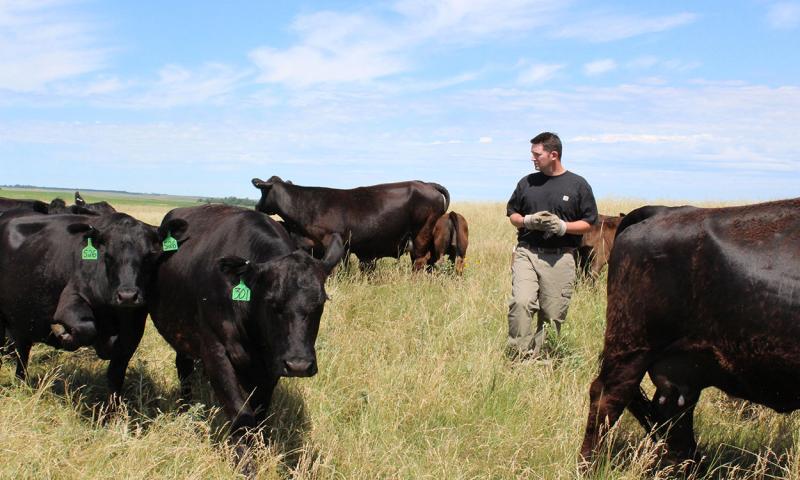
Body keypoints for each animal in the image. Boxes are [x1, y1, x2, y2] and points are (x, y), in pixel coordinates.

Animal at [0, 210, 186, 399]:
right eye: (108, 256)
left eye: (148, 256)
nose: (127, 296)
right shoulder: (70, 301)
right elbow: (86, 328)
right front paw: (64, 334)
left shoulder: (133, 328)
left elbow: (116, 374)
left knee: (22, 352)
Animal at [147, 204, 344, 471]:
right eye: (271, 302)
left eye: (320, 302)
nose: (298, 365)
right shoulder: (215, 351)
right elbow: (240, 413)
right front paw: (244, 463)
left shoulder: (270, 365)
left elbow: (259, 411)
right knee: (184, 371)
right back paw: (186, 410)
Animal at [251, 176, 449, 271]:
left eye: (262, 191)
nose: (257, 206)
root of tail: (425, 183)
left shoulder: (332, 240)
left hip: (422, 233)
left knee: (420, 260)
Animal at [579, 199, 800, 469]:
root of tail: (659, 211)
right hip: (633, 348)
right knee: (608, 398)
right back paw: (588, 466)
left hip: (683, 367)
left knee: (673, 417)